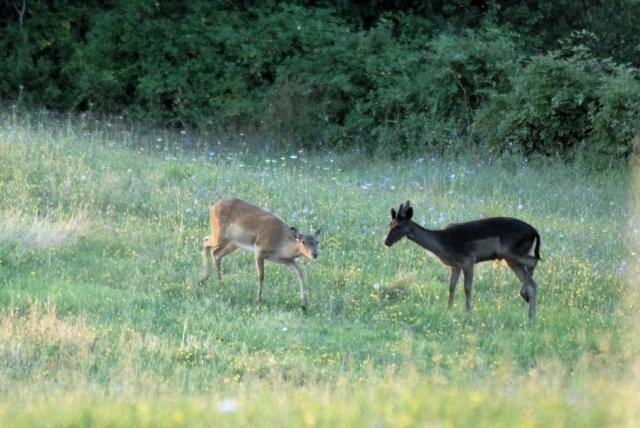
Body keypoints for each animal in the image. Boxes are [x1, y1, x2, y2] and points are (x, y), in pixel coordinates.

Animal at [384, 202, 540, 320]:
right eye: (390, 224)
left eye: (398, 226)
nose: (386, 242)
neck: (443, 245)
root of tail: (535, 232)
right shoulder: (455, 265)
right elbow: (451, 286)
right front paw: (449, 309)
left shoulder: (468, 260)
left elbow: (467, 287)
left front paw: (468, 311)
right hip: (512, 259)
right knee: (533, 284)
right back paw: (531, 316)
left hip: (511, 251)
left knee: (533, 262)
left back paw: (523, 295)